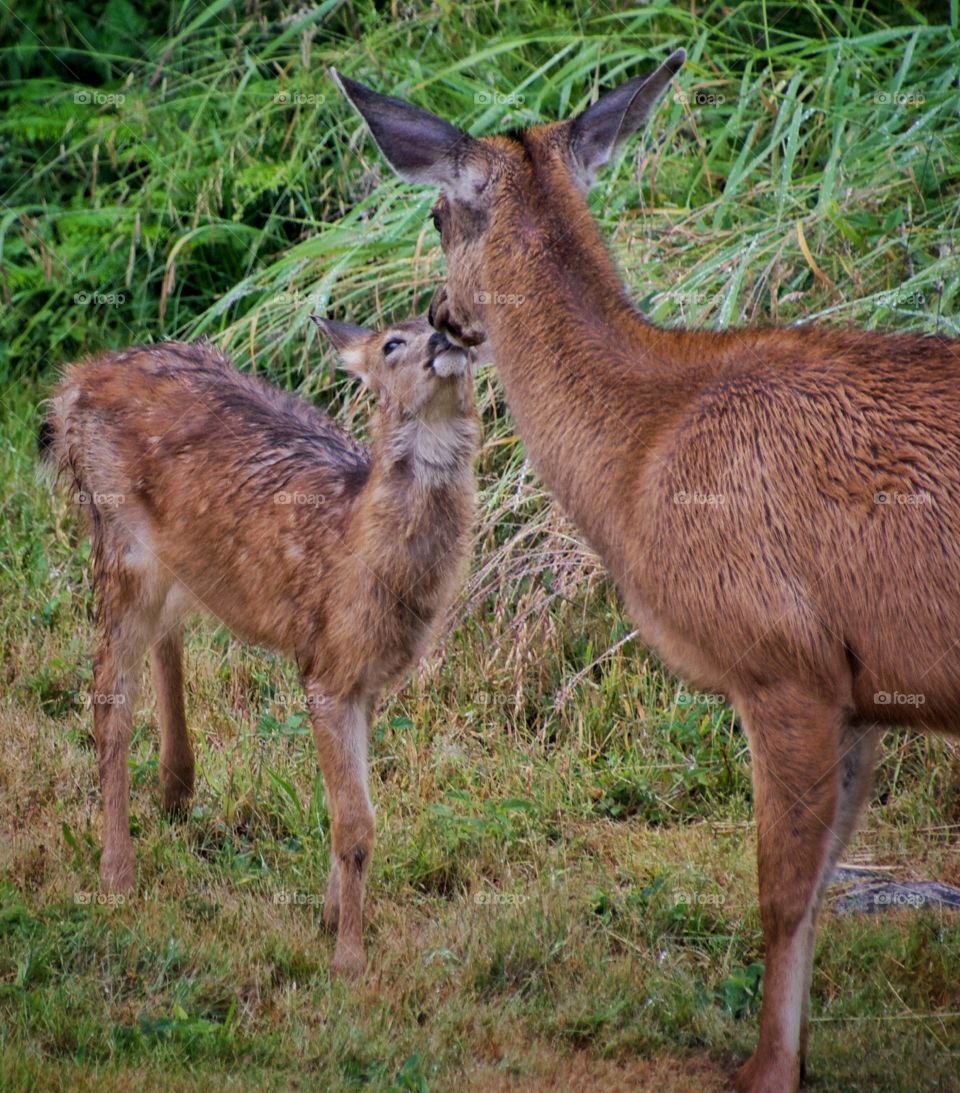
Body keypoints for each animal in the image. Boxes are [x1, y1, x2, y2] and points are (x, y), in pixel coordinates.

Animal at [336, 49, 960, 1084]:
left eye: (435, 215)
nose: (440, 316)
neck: (644, 443)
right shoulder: (860, 688)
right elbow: (823, 879)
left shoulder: (781, 657)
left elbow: (782, 889)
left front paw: (765, 1070)